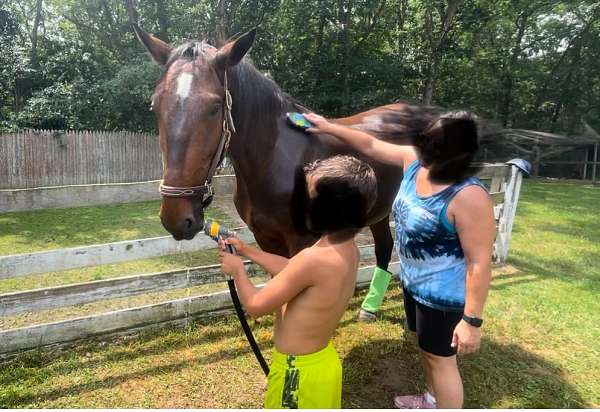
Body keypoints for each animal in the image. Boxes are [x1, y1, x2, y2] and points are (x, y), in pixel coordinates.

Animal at [136, 25, 446, 270]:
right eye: (154, 106)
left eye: (214, 107)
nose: (176, 218)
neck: (272, 161)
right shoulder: (266, 240)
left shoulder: (302, 242)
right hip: (379, 210)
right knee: (384, 248)